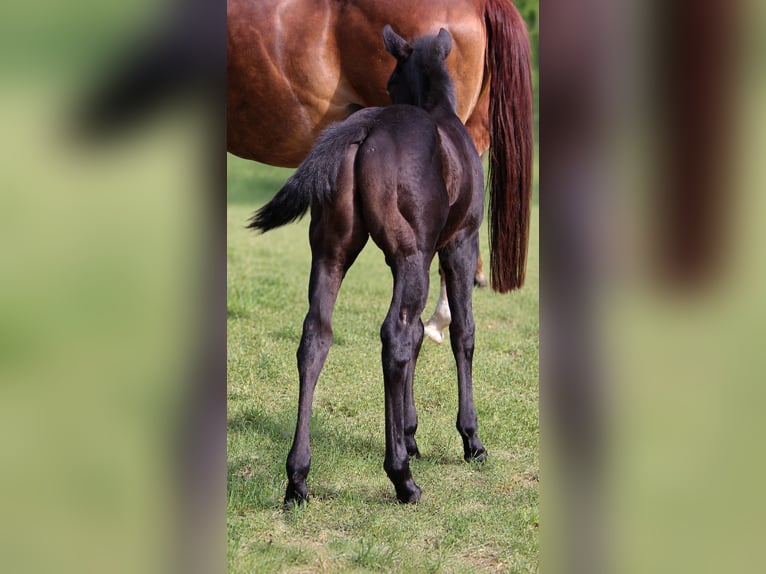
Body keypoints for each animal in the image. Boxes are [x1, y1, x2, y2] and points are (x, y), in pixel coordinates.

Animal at [249, 25, 512, 506]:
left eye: (390, 81)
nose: (384, 94)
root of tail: (367, 126)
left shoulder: (409, 258)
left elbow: (421, 335)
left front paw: (410, 433)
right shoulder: (459, 244)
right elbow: (460, 332)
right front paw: (470, 440)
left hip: (332, 251)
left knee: (316, 336)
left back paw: (298, 478)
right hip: (412, 256)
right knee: (394, 336)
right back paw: (401, 478)